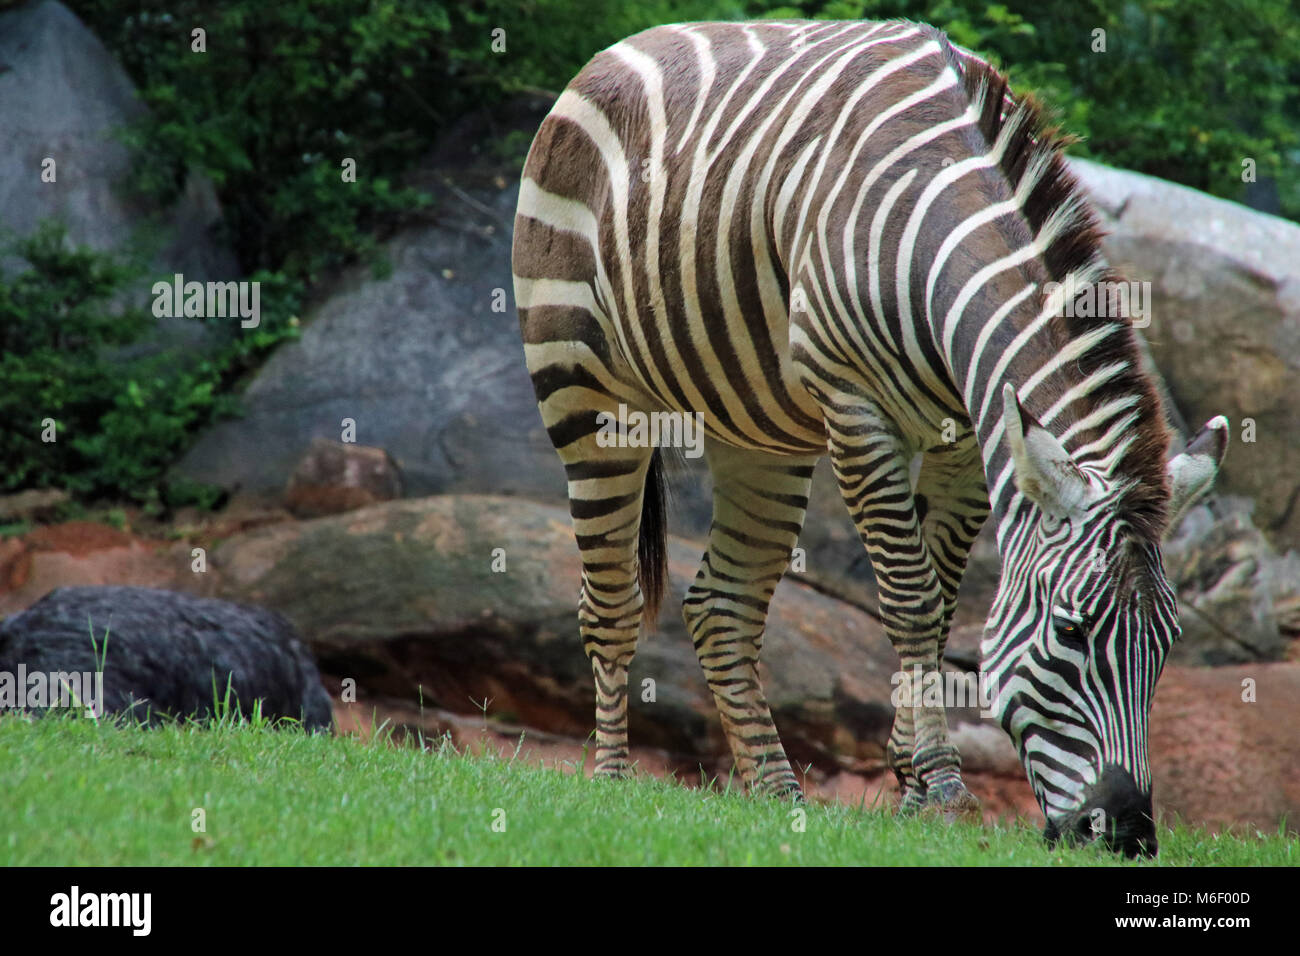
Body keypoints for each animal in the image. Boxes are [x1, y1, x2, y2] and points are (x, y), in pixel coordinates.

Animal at [511, 18, 1227, 856]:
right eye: (1072, 631)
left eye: (1166, 645)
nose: (1126, 836)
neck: (935, 234)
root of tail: (619, 49)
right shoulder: (857, 411)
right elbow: (910, 600)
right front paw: (942, 786)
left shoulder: (964, 442)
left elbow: (941, 607)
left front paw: (910, 783)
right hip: (584, 389)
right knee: (611, 601)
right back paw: (613, 781)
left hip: (763, 431)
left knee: (722, 605)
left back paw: (775, 793)